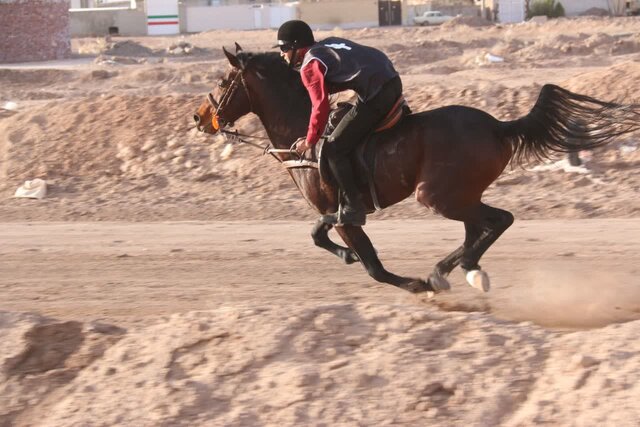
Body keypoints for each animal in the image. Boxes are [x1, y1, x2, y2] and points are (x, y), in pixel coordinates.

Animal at [194, 44, 640, 298]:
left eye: (224, 79)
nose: (200, 117)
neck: (304, 131)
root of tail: (499, 126)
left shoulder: (346, 215)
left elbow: (372, 266)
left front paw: (414, 284)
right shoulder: (334, 213)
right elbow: (318, 235)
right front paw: (347, 257)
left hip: (438, 196)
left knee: (498, 221)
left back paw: (453, 272)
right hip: (460, 194)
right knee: (479, 228)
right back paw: (455, 268)